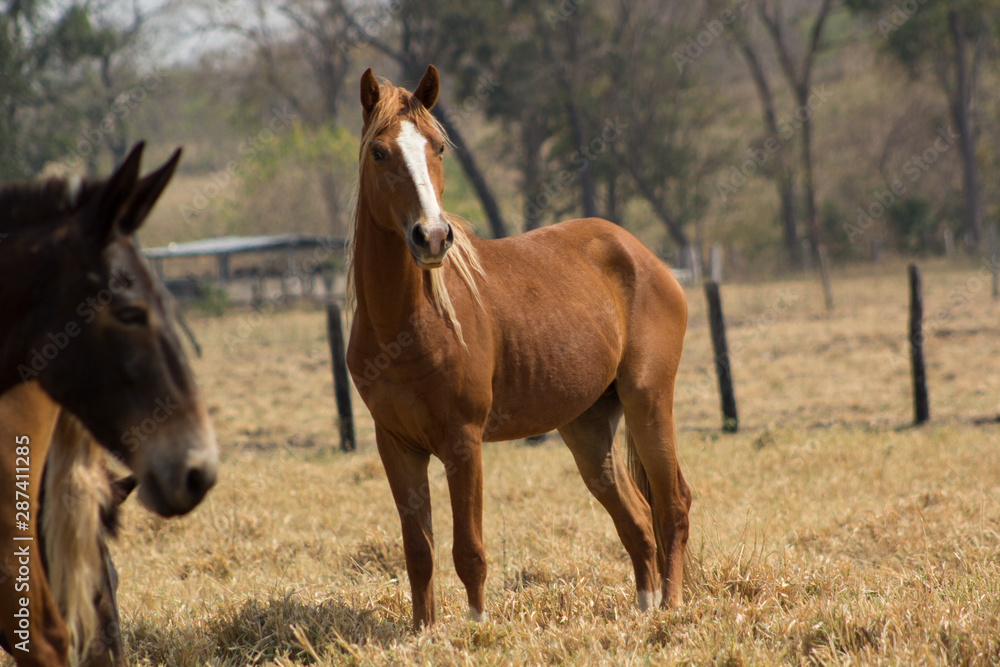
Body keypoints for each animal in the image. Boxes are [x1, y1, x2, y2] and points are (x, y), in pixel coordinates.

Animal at [348, 65, 692, 628]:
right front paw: (423, 632)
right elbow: (418, 552)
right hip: (587, 427)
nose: (432, 236)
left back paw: (671, 608)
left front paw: (477, 630)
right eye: (379, 152)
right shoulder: (396, 445)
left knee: (672, 506)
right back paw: (643, 609)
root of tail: (644, 255)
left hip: (648, 403)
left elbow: (469, 551)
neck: (406, 324)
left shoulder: (462, 441)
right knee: (638, 521)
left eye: (437, 146)